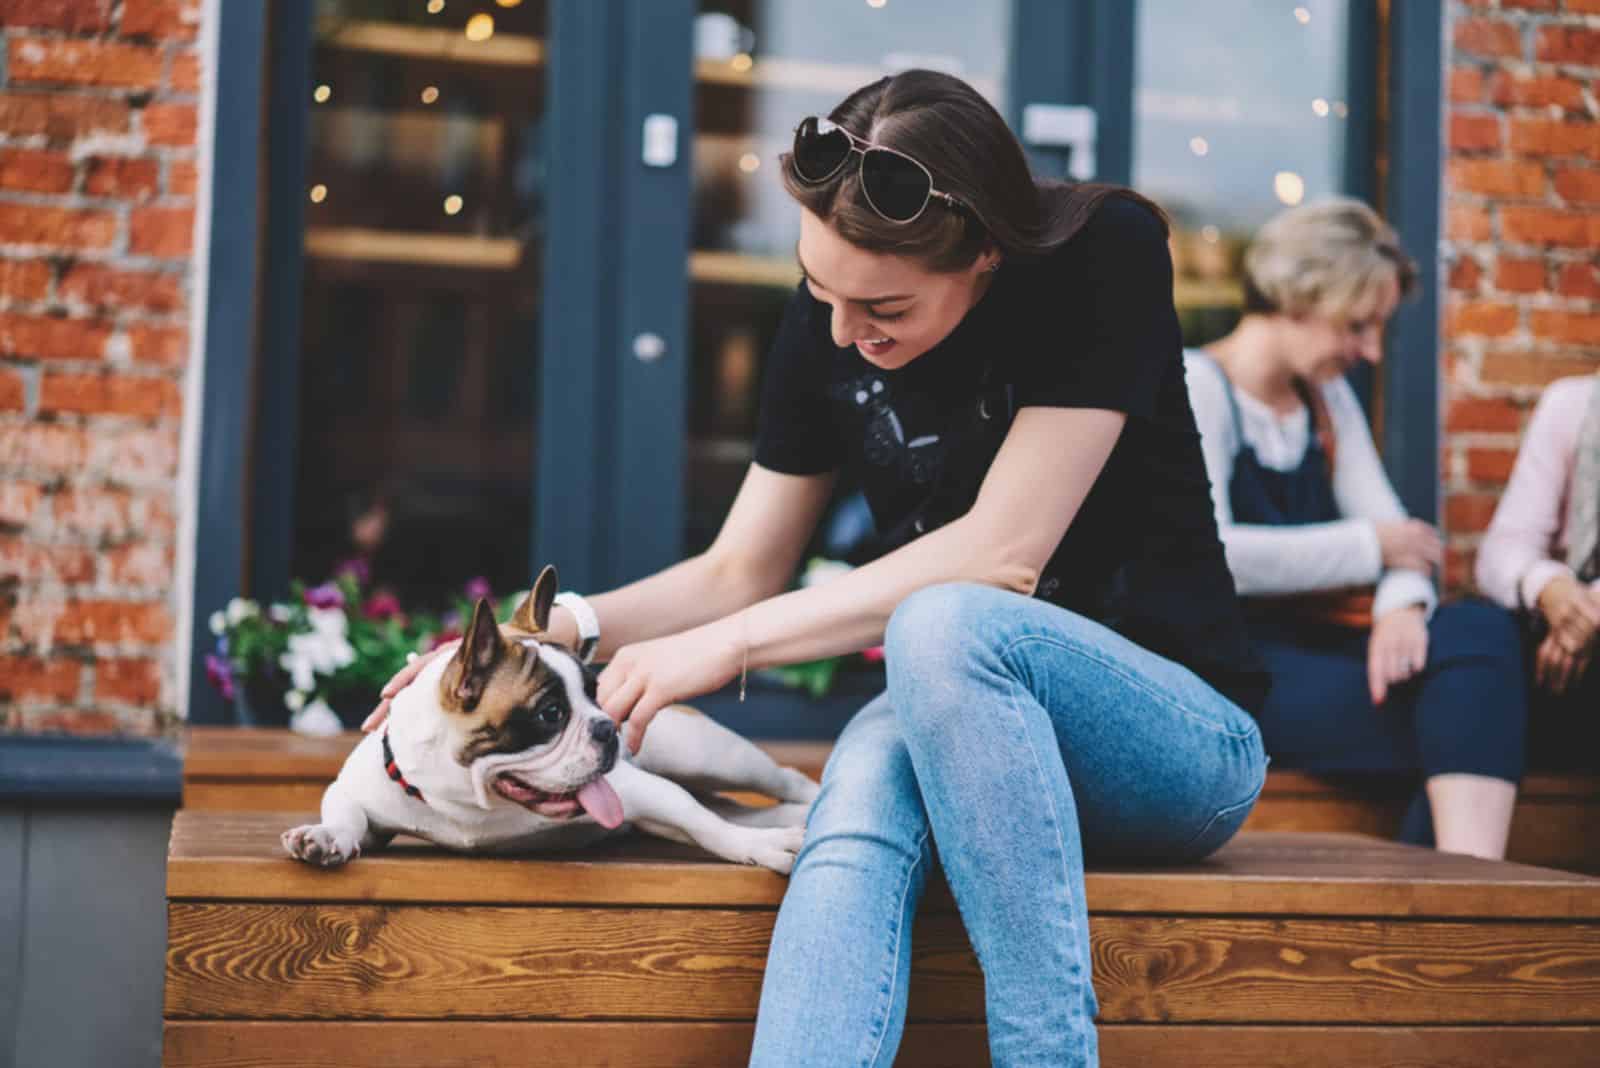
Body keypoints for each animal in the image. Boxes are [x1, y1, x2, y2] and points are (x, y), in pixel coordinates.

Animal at [280, 562, 819, 869]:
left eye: (598, 693)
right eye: (551, 713)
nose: (609, 728)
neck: (474, 805)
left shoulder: (642, 790)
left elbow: (703, 822)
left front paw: (758, 847)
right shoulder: (356, 792)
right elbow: (346, 813)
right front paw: (325, 837)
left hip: (707, 754)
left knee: (773, 783)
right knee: (737, 806)